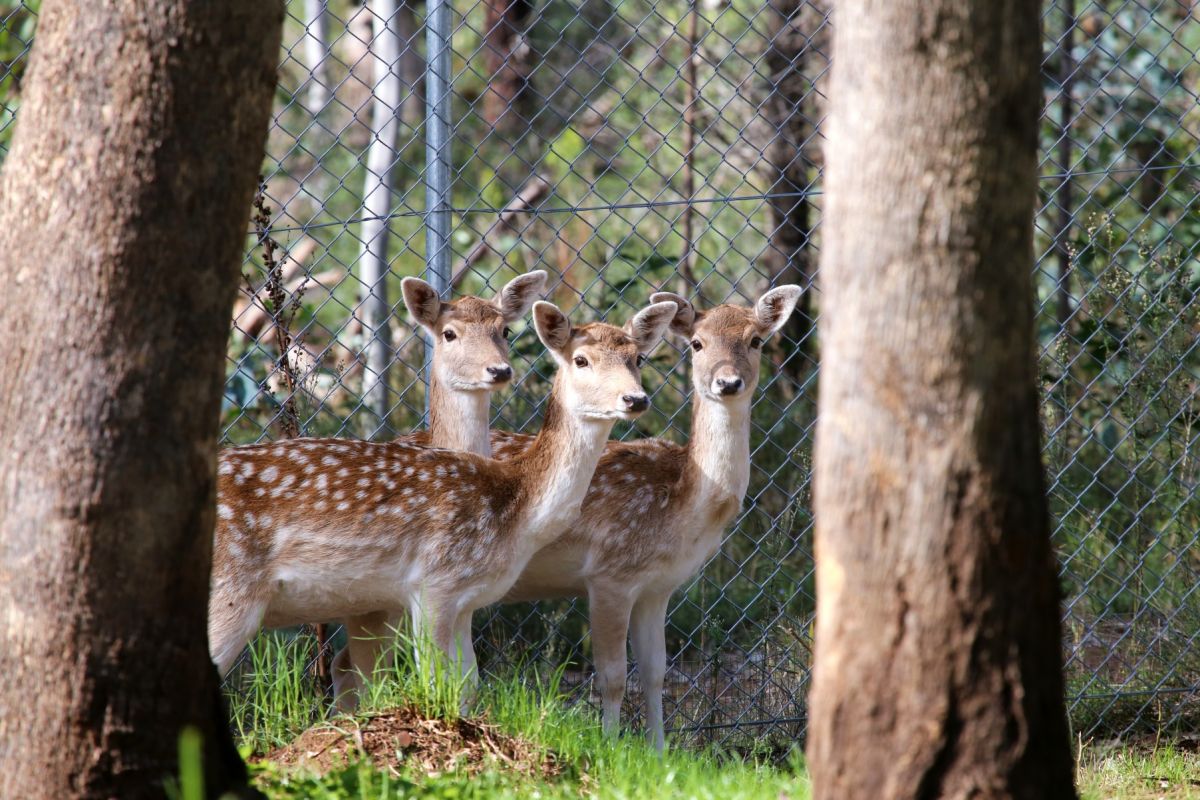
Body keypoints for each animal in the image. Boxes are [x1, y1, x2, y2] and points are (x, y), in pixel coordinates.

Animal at [205, 297, 676, 705]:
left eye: (638, 359)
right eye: (581, 360)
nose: (635, 399)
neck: (516, 508)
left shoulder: (466, 599)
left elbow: (468, 687)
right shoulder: (434, 582)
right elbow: (436, 685)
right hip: (231, 588)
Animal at [326, 286, 806, 753]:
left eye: (756, 340)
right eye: (697, 343)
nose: (728, 382)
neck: (685, 505)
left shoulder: (659, 587)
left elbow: (656, 673)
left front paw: (660, 754)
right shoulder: (610, 574)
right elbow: (613, 677)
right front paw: (614, 749)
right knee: (354, 662)